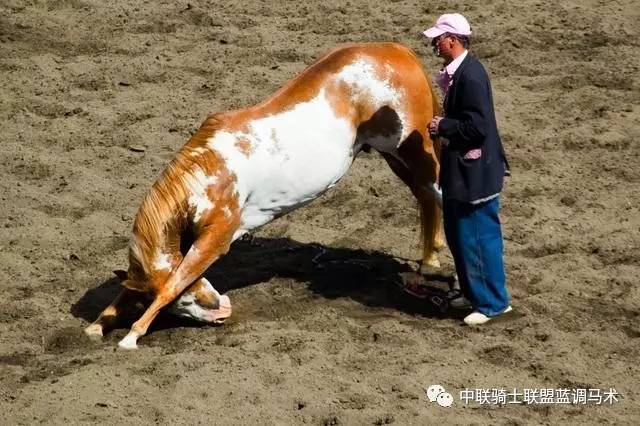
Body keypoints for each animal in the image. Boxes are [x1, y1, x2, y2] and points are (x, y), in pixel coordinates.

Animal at [84, 42, 444, 350]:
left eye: (183, 300)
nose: (222, 309)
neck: (209, 171)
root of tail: (398, 51)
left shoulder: (215, 239)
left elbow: (174, 279)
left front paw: (131, 335)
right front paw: (98, 325)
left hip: (415, 151)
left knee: (436, 194)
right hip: (395, 157)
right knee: (426, 198)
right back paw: (429, 261)